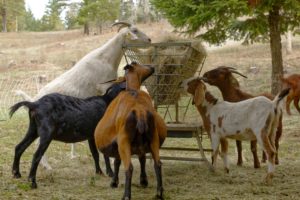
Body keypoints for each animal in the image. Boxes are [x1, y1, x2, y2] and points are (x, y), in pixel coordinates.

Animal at [16, 21, 150, 170]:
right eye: (135, 30)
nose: (149, 40)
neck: (105, 59)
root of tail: (34, 101)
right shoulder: (104, 88)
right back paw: (47, 166)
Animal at [94, 61, 166, 199]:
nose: (152, 66)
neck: (132, 90)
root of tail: (140, 111)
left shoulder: (119, 143)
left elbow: (117, 161)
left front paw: (114, 182)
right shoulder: (141, 145)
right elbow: (142, 158)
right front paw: (143, 181)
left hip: (124, 141)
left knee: (129, 168)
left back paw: (126, 195)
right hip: (153, 138)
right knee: (158, 164)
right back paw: (159, 193)